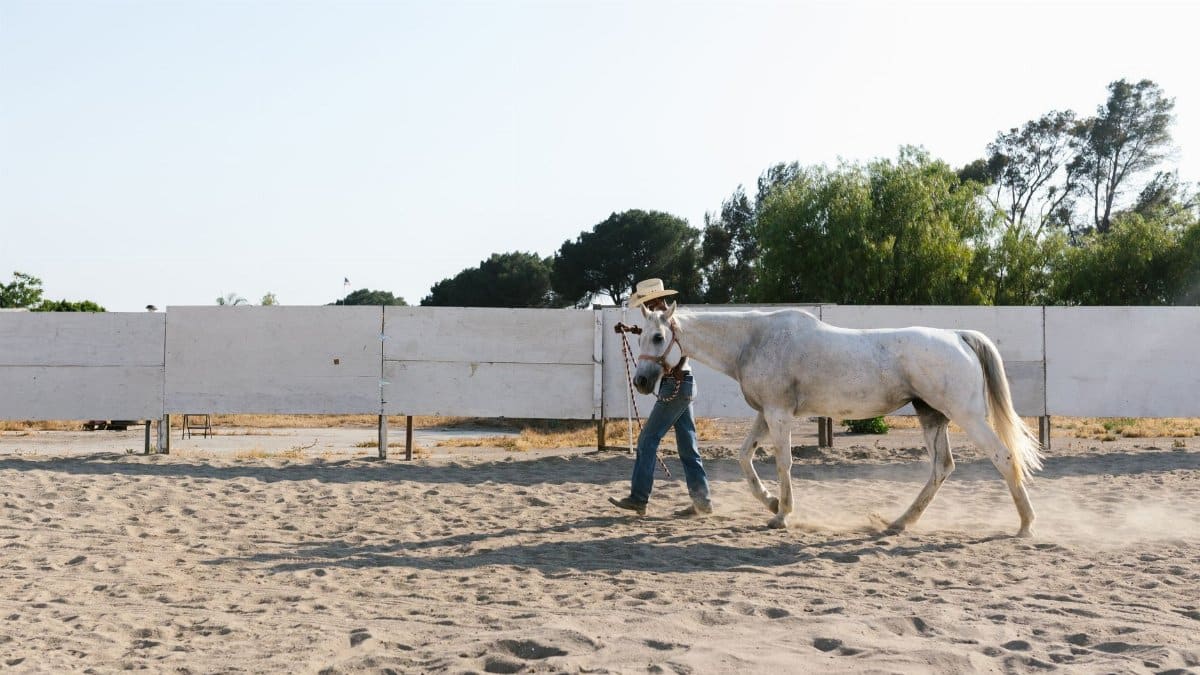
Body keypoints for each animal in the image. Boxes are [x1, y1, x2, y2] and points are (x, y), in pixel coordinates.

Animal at [632, 303, 1042, 536]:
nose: (641, 381)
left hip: (965, 415)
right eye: (639, 336)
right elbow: (744, 457)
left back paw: (1025, 525)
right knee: (942, 467)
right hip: (932, 417)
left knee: (1003, 457)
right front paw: (770, 503)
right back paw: (899, 523)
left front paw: (782, 515)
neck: (754, 341)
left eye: (658, 337)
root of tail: (957, 336)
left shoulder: (779, 415)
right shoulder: (766, 413)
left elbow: (783, 463)